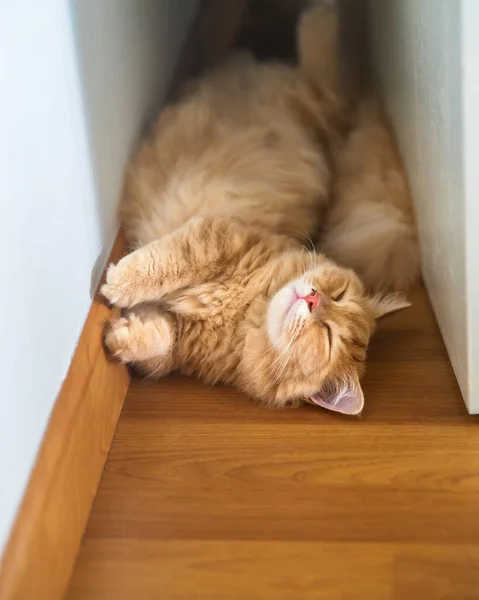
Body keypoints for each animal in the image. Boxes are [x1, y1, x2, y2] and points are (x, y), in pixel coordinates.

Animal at [100, 1, 416, 412]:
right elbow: (168, 262)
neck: (244, 312)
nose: (313, 298)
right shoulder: (219, 236)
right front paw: (122, 282)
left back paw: (318, 16)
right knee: (325, 81)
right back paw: (320, 15)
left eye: (327, 334)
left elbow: (157, 342)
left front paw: (117, 327)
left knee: (327, 87)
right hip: (309, 108)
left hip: (312, 106)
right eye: (339, 297)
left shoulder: (179, 331)